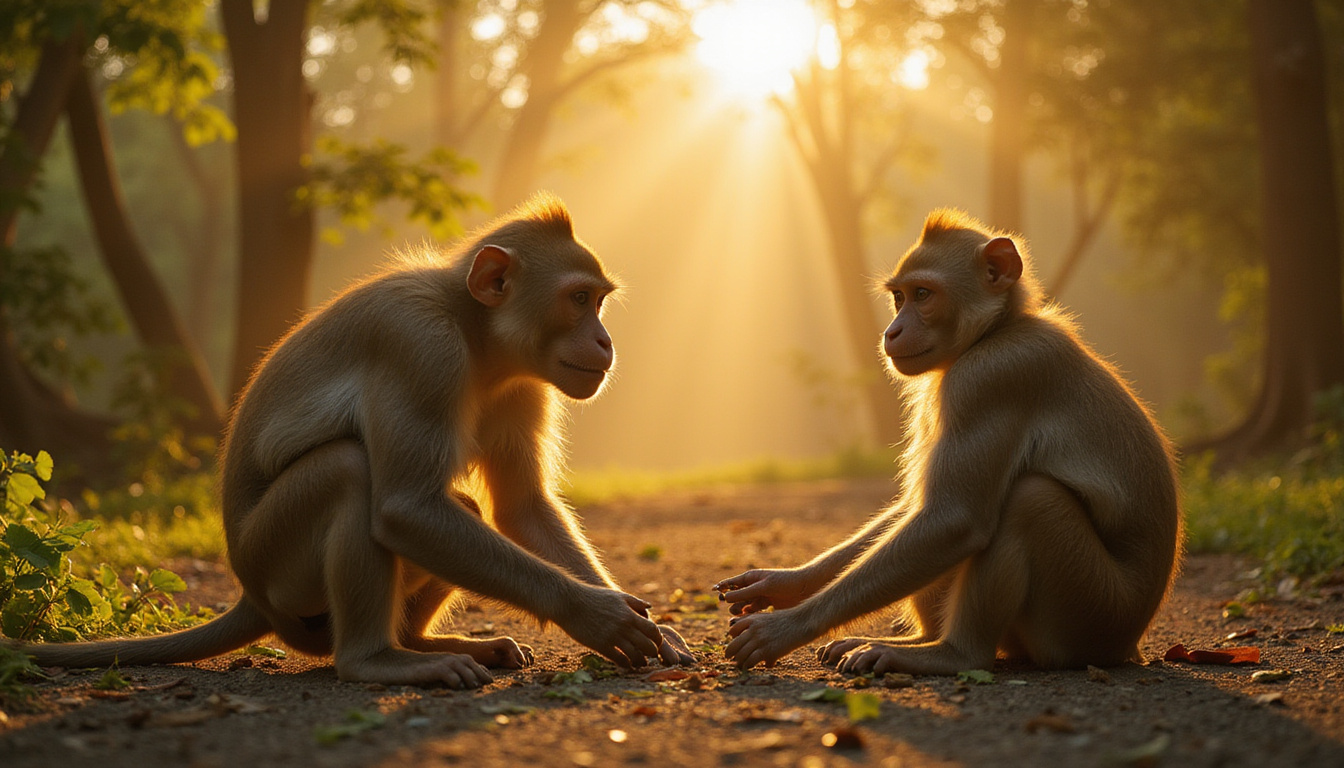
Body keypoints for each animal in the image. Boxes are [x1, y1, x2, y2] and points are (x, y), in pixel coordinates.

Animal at [9, 193, 693, 687]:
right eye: (578, 299)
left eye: (598, 301)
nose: (604, 341)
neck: (476, 335)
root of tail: (250, 592)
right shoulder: (419, 346)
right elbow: (404, 508)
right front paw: (596, 615)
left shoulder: (525, 385)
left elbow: (521, 507)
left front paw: (645, 624)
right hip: (280, 572)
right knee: (349, 472)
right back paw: (375, 659)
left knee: (459, 508)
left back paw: (421, 642)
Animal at [717, 208, 1182, 675]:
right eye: (900, 297)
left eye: (923, 294)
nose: (892, 331)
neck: (996, 330)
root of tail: (1129, 646)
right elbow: (919, 507)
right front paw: (784, 583)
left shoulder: (989, 378)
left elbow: (955, 519)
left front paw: (786, 627)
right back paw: (916, 640)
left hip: (1090, 615)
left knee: (1030, 499)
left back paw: (951, 653)